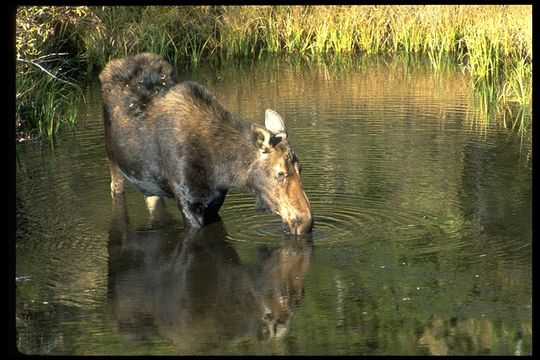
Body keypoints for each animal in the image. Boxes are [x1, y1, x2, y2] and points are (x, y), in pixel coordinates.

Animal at [99, 52, 312, 235]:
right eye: (280, 173)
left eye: (301, 168)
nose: (306, 222)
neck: (222, 170)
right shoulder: (188, 203)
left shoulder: (214, 202)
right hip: (113, 160)